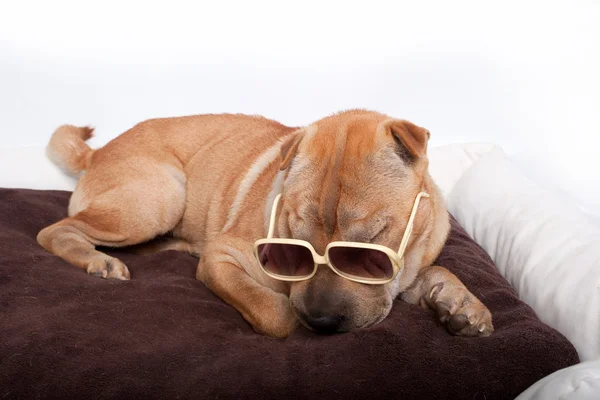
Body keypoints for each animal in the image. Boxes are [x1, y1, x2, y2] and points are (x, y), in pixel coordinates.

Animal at [38, 109, 492, 338]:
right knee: (55, 230)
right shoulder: (222, 259)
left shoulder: (409, 265)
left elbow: (438, 272)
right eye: (296, 241)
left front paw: (461, 304)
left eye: (370, 246)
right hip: (158, 198)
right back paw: (97, 260)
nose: (321, 322)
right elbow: (274, 311)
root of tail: (96, 153)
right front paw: (289, 317)